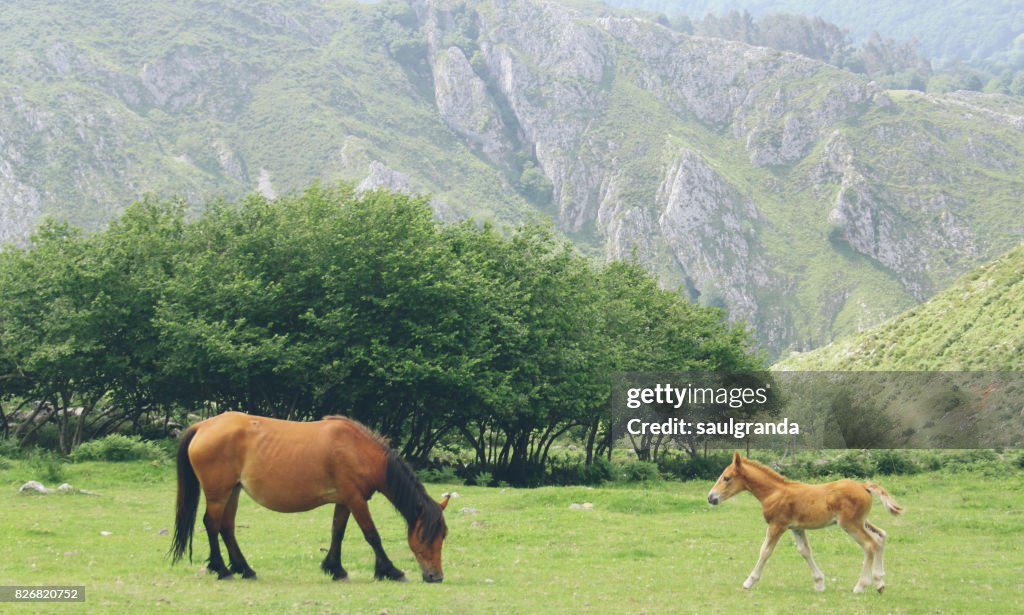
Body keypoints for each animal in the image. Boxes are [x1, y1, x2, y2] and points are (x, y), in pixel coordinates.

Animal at [168, 411, 450, 583]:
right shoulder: (355, 499)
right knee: (212, 524)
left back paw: (244, 569)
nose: (435, 576)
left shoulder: (344, 500)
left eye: (443, 536)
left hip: (233, 491)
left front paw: (335, 568)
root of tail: (203, 426)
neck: (358, 449)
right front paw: (391, 570)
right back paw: (222, 569)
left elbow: (337, 532)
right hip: (218, 492)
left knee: (226, 527)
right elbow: (372, 535)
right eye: (425, 536)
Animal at [707, 451, 904, 593]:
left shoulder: (777, 525)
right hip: (862, 521)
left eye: (726, 478)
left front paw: (749, 581)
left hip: (851, 524)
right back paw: (879, 582)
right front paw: (819, 583)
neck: (774, 493)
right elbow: (805, 551)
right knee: (880, 537)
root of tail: (864, 486)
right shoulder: (796, 528)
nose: (711, 497)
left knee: (870, 544)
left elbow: (765, 551)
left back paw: (861, 586)